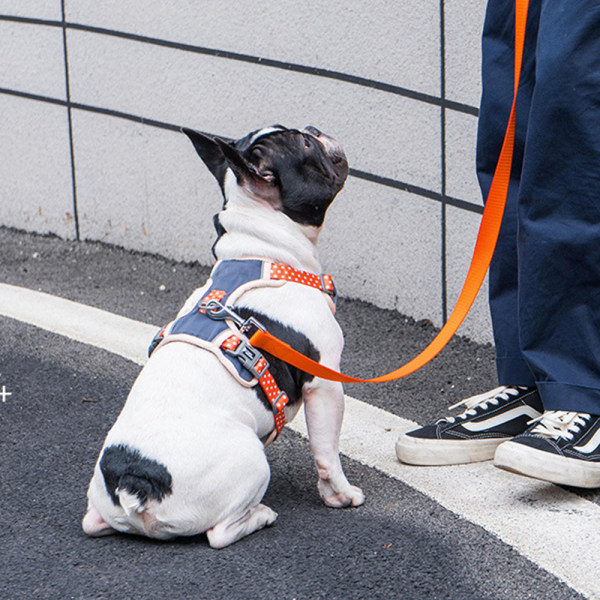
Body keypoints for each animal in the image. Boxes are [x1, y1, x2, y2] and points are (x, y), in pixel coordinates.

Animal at [81, 124, 364, 548]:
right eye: (305, 144)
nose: (315, 129)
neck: (264, 252)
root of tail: (137, 481)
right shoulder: (325, 384)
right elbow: (327, 453)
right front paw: (341, 496)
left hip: (100, 500)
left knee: (91, 521)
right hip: (252, 458)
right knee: (219, 532)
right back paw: (260, 515)